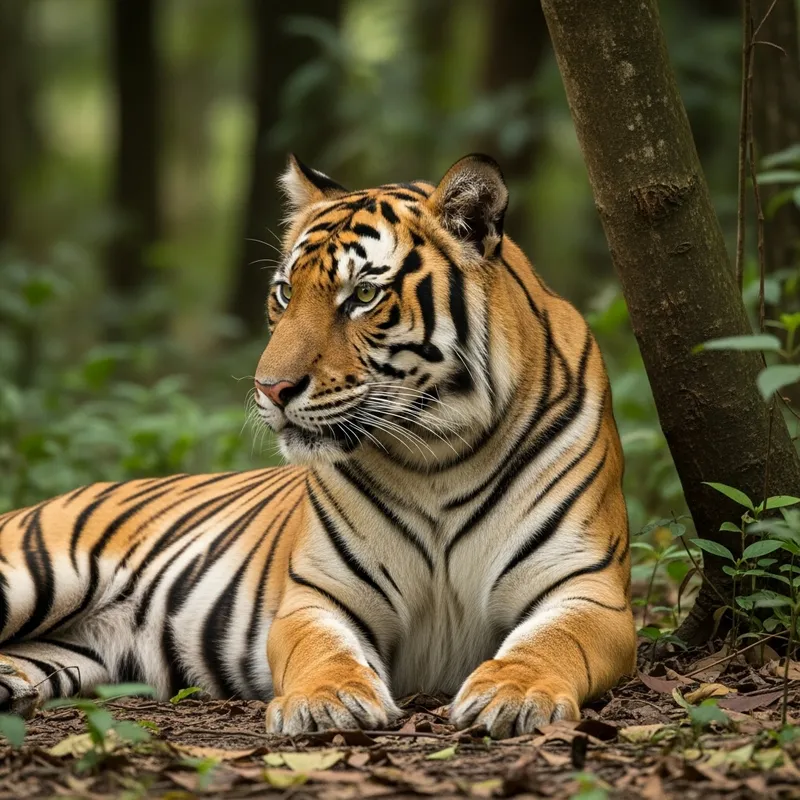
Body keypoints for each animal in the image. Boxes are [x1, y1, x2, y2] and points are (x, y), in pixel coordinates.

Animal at [0, 154, 636, 738]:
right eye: (284, 292)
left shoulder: (587, 588)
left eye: (363, 294)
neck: (439, 454)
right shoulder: (319, 595)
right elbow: (323, 650)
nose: (270, 387)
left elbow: (550, 642)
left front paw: (516, 693)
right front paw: (326, 702)